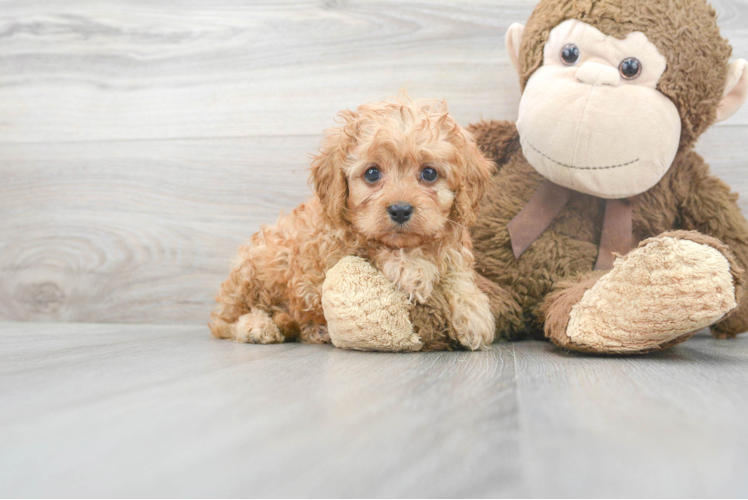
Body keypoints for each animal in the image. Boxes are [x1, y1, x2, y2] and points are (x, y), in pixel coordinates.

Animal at [210, 96, 496, 348]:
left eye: (429, 173)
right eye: (372, 173)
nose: (400, 210)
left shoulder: (453, 246)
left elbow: (457, 274)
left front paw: (474, 313)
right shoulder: (337, 248)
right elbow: (373, 245)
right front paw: (412, 268)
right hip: (260, 265)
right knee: (225, 321)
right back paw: (257, 326)